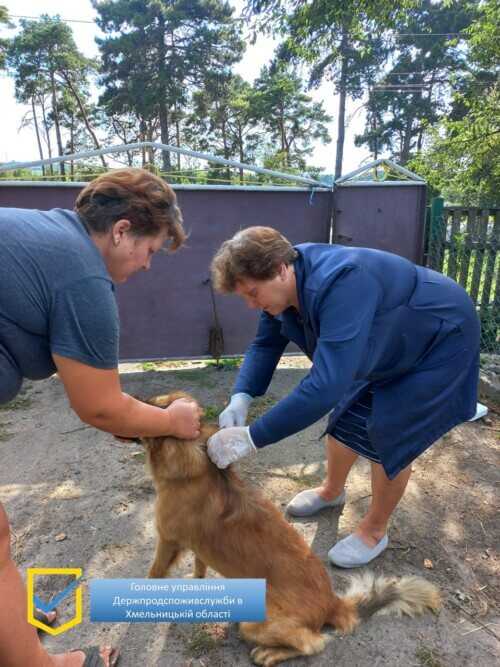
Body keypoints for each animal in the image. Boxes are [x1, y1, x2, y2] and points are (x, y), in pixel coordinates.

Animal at [141, 392, 442, 667]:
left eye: (155, 405)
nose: (136, 404)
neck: (197, 468)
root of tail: (332, 602)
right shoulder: (197, 545)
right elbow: (199, 566)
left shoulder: (167, 540)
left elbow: (154, 572)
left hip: (255, 622)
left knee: (314, 642)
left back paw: (269, 654)